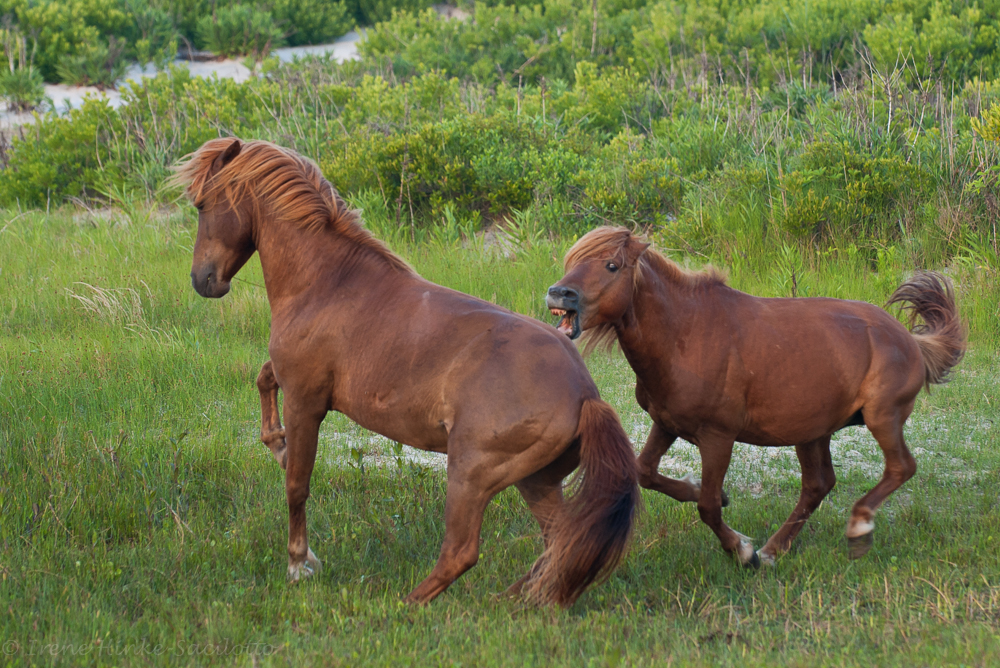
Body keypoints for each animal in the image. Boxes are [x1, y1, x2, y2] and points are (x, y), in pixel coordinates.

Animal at [171, 138, 639, 606]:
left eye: (202, 204)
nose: (202, 279)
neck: (328, 282)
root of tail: (585, 394)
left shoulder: (305, 400)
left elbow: (296, 484)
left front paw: (299, 563)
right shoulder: (293, 381)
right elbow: (264, 380)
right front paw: (277, 444)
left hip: (471, 473)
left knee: (464, 551)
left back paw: (408, 603)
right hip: (536, 481)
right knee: (560, 541)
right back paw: (517, 598)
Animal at [546, 226, 965, 567]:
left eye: (612, 265)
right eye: (572, 260)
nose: (558, 293)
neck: (685, 334)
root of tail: (909, 339)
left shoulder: (718, 436)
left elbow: (707, 507)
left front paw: (741, 549)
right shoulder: (666, 423)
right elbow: (645, 472)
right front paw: (714, 499)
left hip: (882, 416)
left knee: (900, 468)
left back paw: (856, 528)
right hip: (811, 431)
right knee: (818, 485)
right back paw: (775, 550)